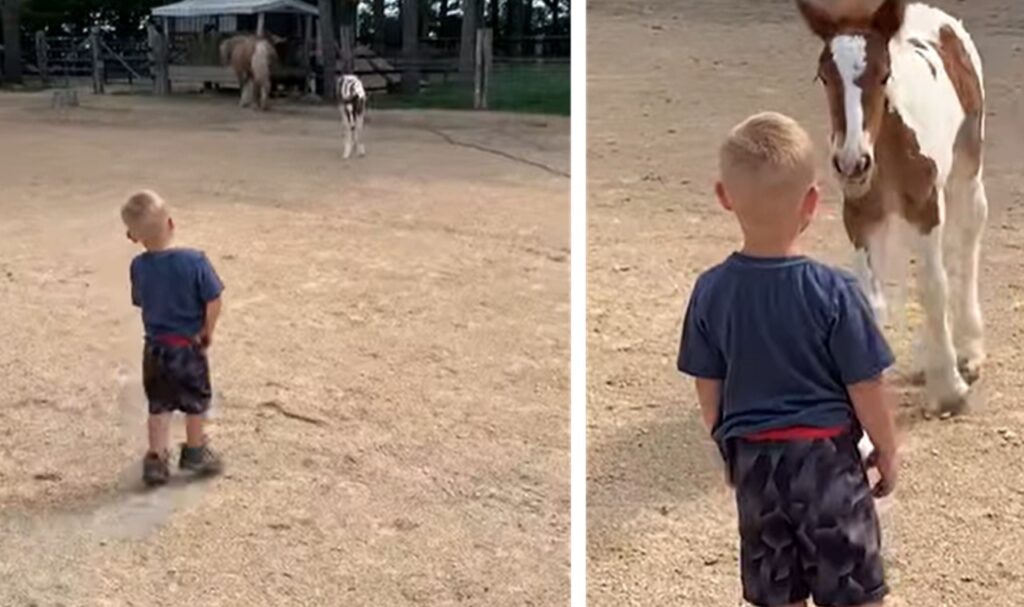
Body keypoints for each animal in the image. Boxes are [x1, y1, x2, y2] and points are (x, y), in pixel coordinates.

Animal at [794, 0, 987, 413]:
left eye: (884, 75)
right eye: (823, 76)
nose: (852, 163)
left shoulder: (927, 206)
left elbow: (933, 286)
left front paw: (949, 387)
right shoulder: (860, 214)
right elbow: (870, 300)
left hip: (966, 165)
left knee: (967, 236)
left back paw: (969, 349)